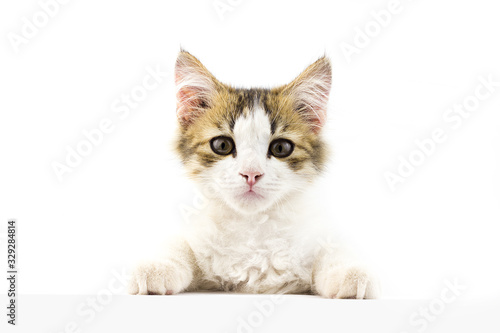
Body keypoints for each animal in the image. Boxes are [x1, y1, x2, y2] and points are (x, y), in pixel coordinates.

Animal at [129, 50, 378, 298]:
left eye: (281, 148)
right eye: (222, 145)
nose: (251, 174)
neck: (253, 226)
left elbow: (334, 249)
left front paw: (351, 274)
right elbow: (179, 245)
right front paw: (157, 267)